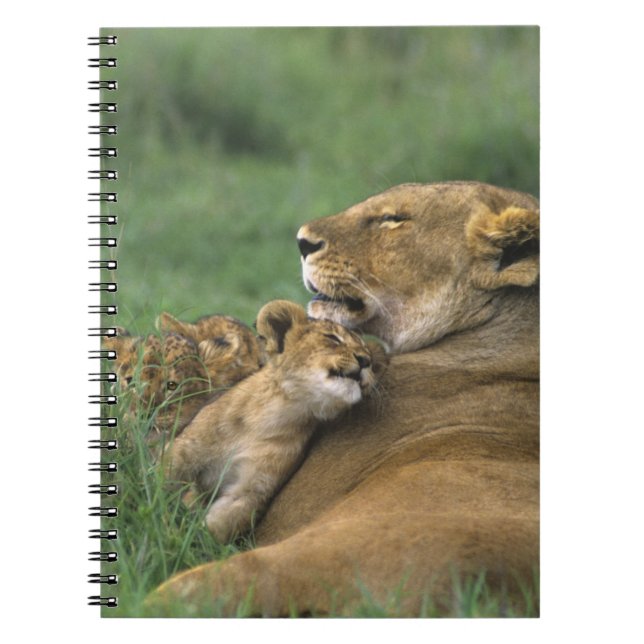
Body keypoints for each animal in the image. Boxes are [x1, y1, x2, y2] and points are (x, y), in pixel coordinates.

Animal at [161, 300, 387, 543]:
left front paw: (187, 541)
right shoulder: (182, 452)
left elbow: (216, 527)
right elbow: (157, 483)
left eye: (369, 355)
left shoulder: (251, 491)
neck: (275, 413)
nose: (366, 361)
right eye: (333, 338)